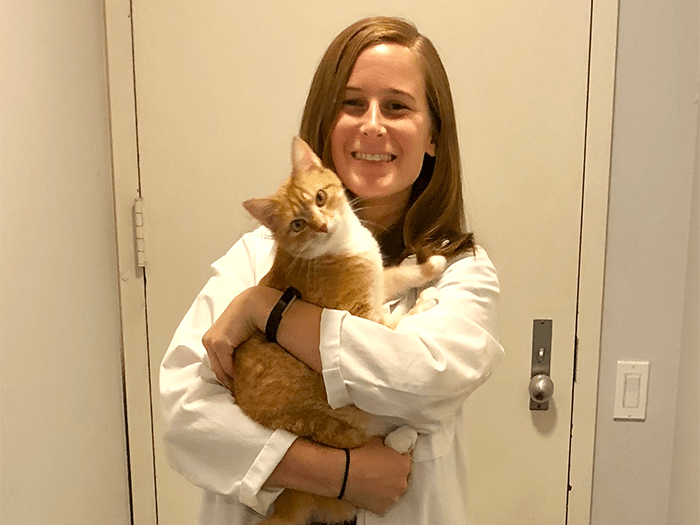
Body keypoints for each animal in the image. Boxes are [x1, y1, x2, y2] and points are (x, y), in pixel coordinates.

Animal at [232, 137, 445, 525]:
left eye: (320, 197)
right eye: (297, 224)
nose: (321, 226)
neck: (340, 247)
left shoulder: (377, 281)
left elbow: (398, 276)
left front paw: (430, 264)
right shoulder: (360, 315)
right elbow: (395, 326)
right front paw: (423, 301)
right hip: (338, 425)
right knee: (362, 448)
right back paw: (402, 438)